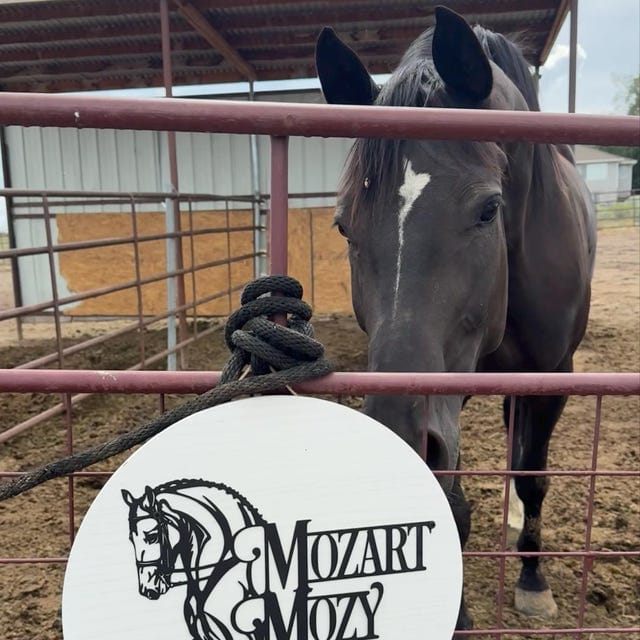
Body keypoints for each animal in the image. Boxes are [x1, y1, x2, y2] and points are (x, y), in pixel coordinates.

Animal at [315, 5, 596, 631]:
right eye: (344, 226)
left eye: (488, 209)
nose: (401, 436)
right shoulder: (451, 386)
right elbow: (452, 501)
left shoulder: (553, 376)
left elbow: (534, 479)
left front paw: (533, 580)